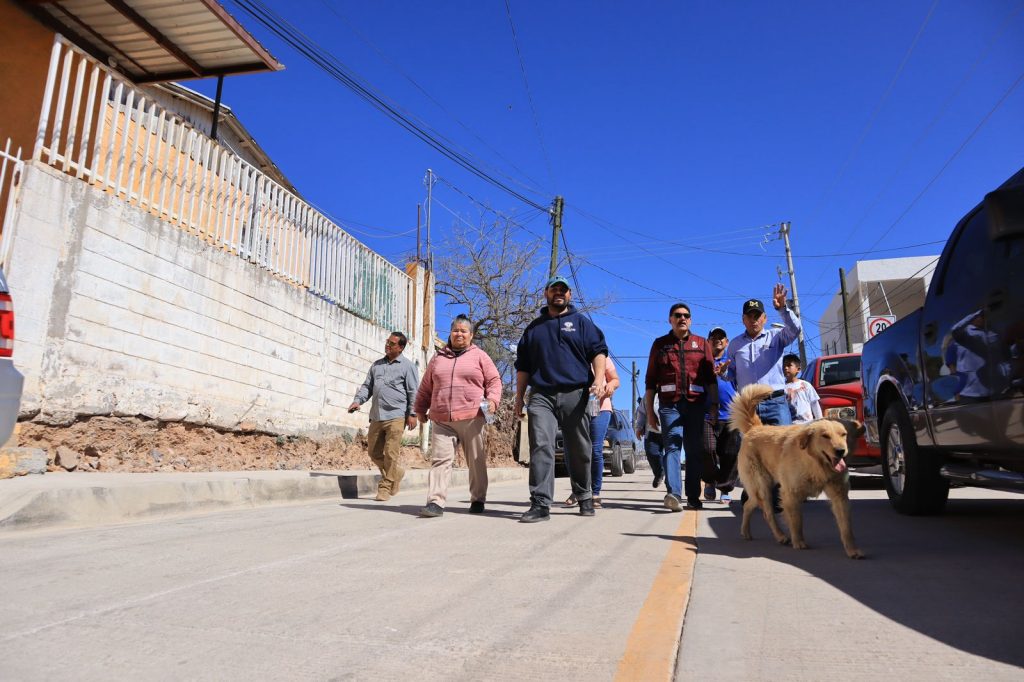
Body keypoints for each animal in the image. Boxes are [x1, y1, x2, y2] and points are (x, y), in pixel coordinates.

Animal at [729, 382, 864, 557]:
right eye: (825, 436)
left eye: (844, 434)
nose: (841, 451)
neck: (815, 464)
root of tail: (755, 428)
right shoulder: (790, 494)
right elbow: (796, 521)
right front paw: (799, 542)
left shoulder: (839, 495)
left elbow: (846, 526)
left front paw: (852, 550)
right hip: (762, 486)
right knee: (767, 513)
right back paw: (780, 536)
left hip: (759, 489)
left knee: (748, 504)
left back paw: (746, 531)